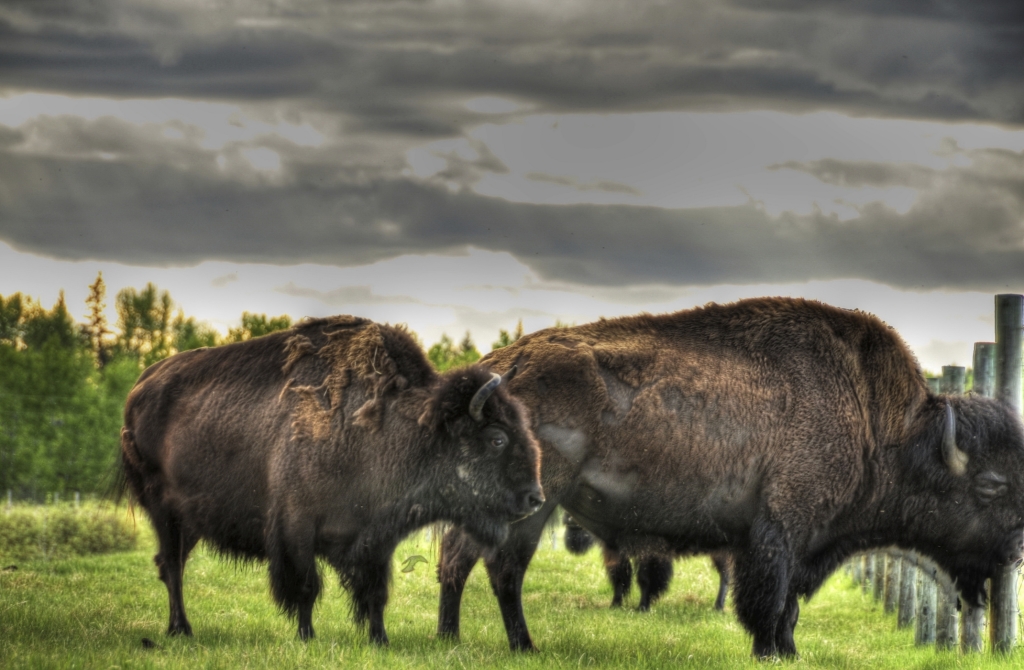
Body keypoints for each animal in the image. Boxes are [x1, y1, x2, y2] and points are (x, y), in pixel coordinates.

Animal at [119, 315, 543, 645]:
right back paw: (181, 629)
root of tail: (139, 389)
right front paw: (307, 637)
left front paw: (379, 640)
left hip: (189, 521)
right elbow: (307, 588)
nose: (534, 498)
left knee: (172, 564)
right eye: (497, 438)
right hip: (163, 511)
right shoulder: (296, 528)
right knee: (171, 565)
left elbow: (375, 594)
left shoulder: (376, 538)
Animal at [436, 297, 1024, 657]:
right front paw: (771, 651)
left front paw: (788, 651)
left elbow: (789, 607)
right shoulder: (783, 531)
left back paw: (468, 640)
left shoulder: (801, 542)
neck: (880, 426)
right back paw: (500, 644)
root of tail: (501, 363)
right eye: (991, 485)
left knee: (471, 563)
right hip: (532, 501)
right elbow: (772, 601)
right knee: (493, 566)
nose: (1018, 548)